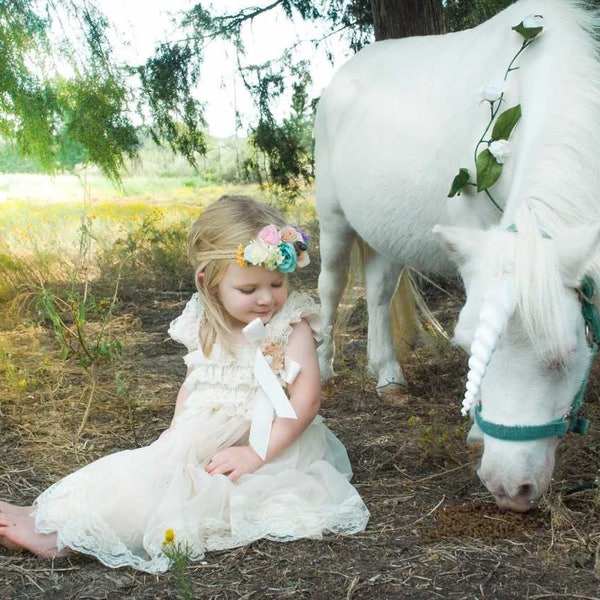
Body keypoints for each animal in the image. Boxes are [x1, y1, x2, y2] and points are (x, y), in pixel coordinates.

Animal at [314, 0, 600, 510]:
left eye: (564, 356)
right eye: (467, 348)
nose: (507, 487)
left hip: (386, 235)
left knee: (379, 296)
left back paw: (388, 377)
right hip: (333, 221)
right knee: (330, 289)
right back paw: (326, 367)